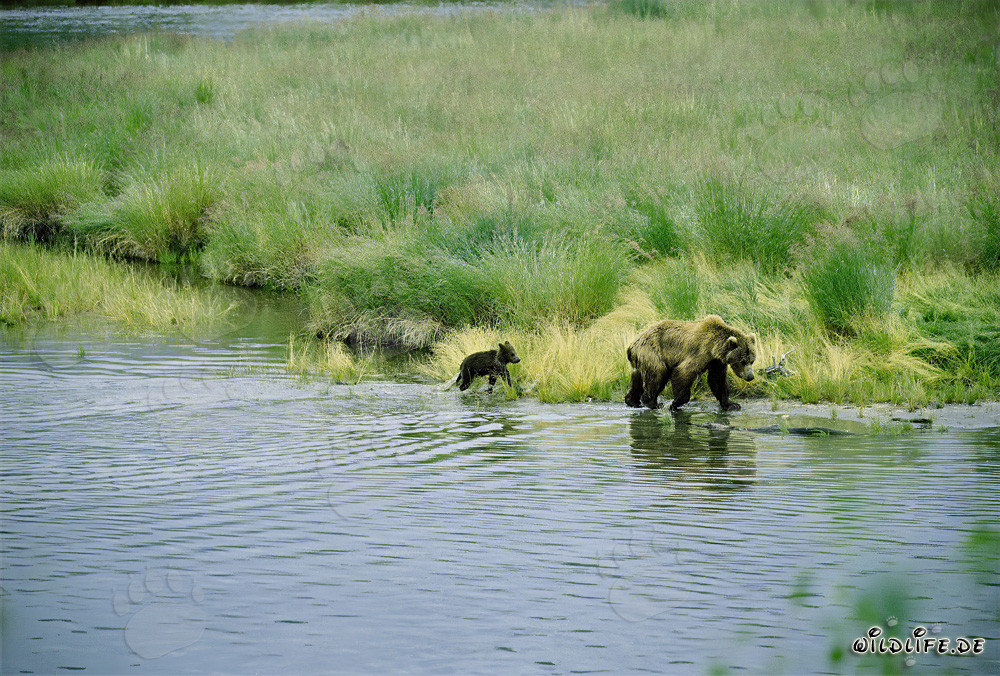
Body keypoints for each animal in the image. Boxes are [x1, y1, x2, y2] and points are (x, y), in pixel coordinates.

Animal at [624, 315, 756, 412]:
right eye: (742, 361)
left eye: (752, 360)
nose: (750, 376)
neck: (714, 348)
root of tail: (632, 345)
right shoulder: (700, 352)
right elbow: (683, 372)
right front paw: (675, 403)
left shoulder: (716, 361)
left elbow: (717, 379)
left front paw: (732, 404)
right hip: (653, 353)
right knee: (657, 375)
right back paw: (653, 403)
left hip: (641, 361)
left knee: (637, 380)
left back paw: (632, 401)